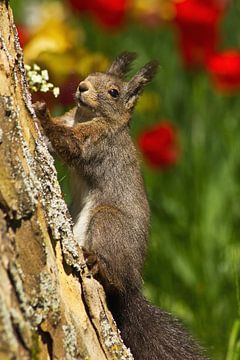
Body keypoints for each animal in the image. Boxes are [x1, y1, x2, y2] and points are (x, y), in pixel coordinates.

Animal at [34, 52, 208, 358]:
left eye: (114, 92)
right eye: (90, 75)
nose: (82, 87)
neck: (87, 115)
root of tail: (132, 286)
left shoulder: (96, 143)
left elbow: (70, 146)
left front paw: (42, 113)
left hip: (107, 221)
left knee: (113, 278)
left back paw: (99, 264)